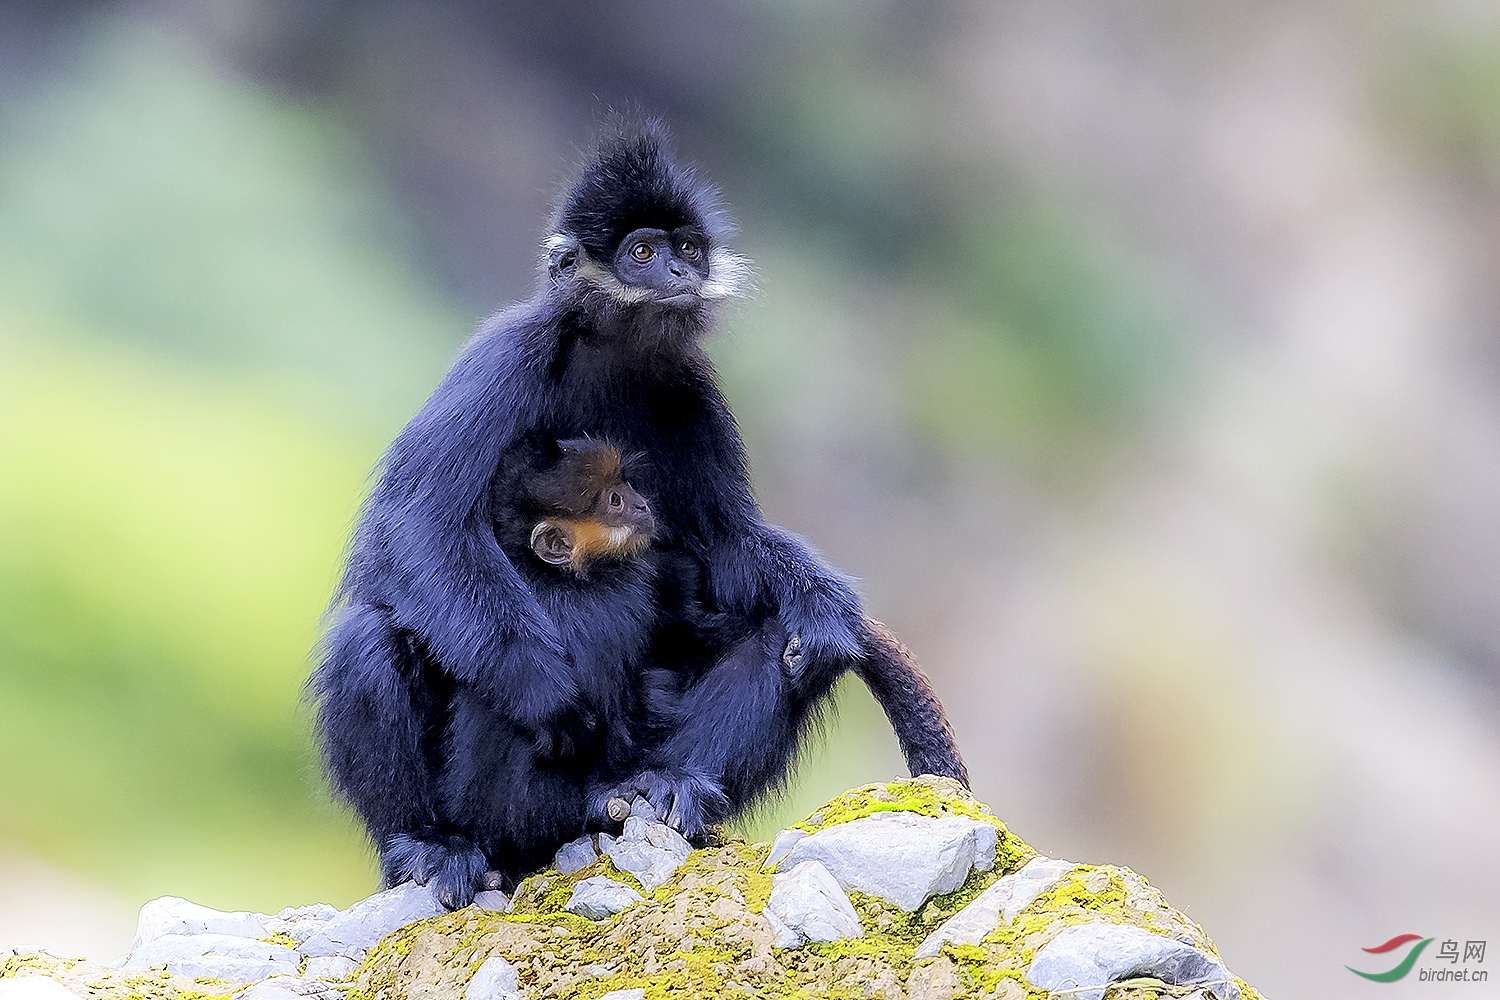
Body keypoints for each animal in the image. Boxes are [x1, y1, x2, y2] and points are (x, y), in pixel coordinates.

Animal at [312, 117, 966, 905]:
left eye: (687, 250)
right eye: (643, 253)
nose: (680, 277)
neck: (612, 358)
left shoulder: (687, 387)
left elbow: (729, 546)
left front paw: (822, 601)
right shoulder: (508, 354)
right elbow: (421, 527)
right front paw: (547, 695)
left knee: (779, 638)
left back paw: (671, 784)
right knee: (370, 634)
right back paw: (432, 844)